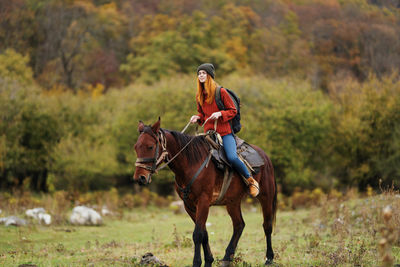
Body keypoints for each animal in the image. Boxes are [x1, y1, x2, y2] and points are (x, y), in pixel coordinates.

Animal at [133, 119, 276, 267]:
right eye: (136, 147)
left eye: (150, 147)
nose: (140, 178)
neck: (190, 164)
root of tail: (265, 156)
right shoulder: (189, 206)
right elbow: (204, 233)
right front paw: (209, 260)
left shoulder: (203, 202)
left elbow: (197, 234)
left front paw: (197, 262)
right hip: (233, 202)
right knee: (239, 225)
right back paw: (227, 258)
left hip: (266, 196)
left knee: (267, 225)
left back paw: (269, 258)